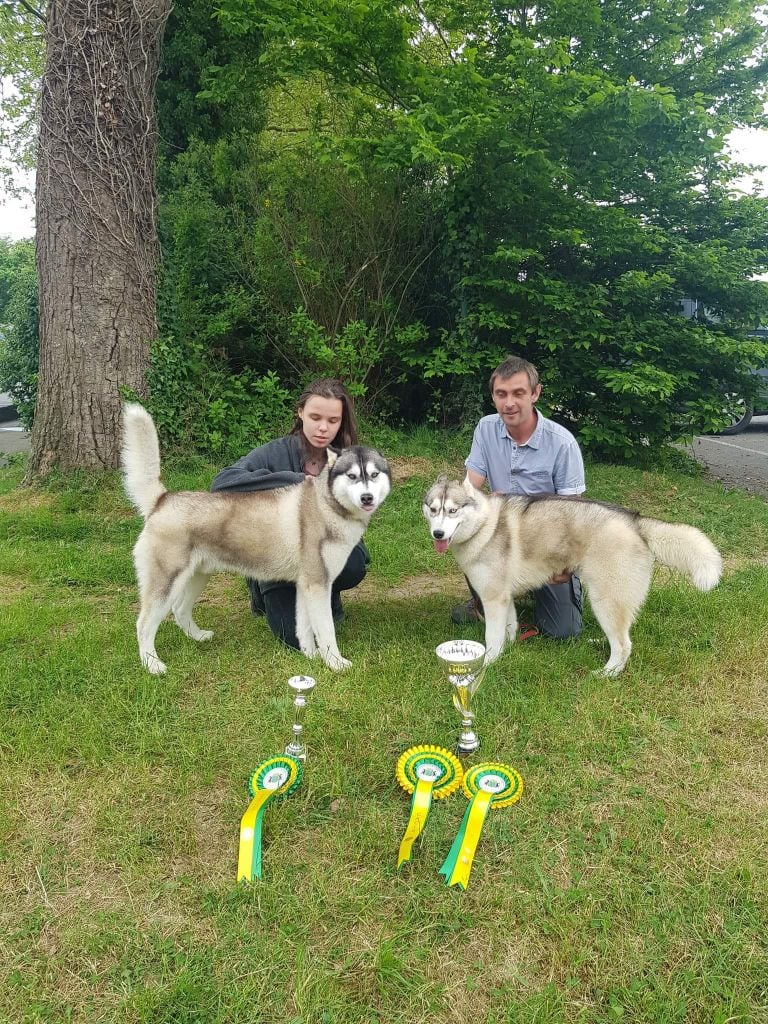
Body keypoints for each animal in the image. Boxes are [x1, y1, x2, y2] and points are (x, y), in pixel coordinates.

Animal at [123, 403, 393, 675]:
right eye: (351, 476)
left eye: (374, 474)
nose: (367, 498)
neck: (326, 504)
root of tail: (163, 499)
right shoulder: (318, 584)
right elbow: (326, 631)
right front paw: (335, 662)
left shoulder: (306, 585)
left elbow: (303, 627)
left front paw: (310, 655)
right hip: (165, 583)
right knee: (142, 623)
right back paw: (152, 664)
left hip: (198, 575)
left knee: (179, 609)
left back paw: (198, 637)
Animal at [423, 475, 724, 675]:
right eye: (433, 509)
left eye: (453, 510)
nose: (438, 533)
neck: (485, 526)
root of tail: (634, 520)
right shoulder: (503, 599)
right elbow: (508, 631)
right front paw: (506, 654)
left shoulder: (493, 598)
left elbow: (492, 638)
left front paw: (486, 665)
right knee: (619, 635)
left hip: (604, 599)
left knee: (624, 644)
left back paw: (608, 674)